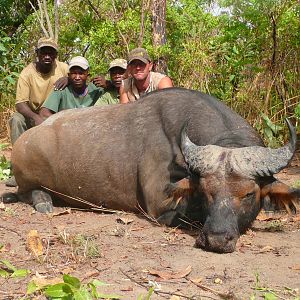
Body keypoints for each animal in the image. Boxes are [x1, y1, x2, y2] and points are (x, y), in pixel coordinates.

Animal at [2, 87, 300, 253]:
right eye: (205, 191)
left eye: (248, 194)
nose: (216, 240)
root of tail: (26, 140)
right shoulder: (161, 206)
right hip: (28, 179)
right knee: (27, 192)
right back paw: (44, 202)